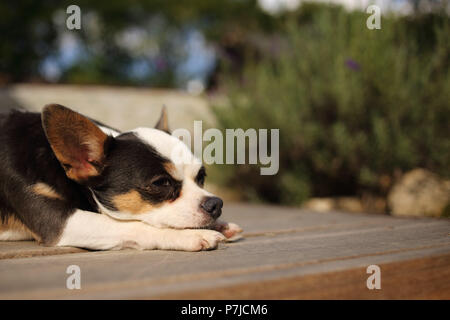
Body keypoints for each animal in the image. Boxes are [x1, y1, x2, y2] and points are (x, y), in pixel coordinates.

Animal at [0, 105, 243, 250]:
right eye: (161, 183)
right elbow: (132, 225)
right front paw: (190, 236)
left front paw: (220, 225)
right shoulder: (58, 222)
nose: (215, 204)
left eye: (201, 177)